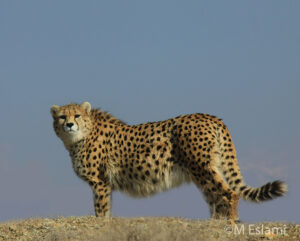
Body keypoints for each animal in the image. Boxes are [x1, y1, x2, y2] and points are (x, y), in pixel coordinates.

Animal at [50, 101, 288, 222]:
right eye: (62, 117)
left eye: (77, 115)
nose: (69, 124)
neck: (79, 138)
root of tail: (211, 117)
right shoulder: (104, 183)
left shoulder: (100, 182)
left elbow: (101, 209)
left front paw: (101, 225)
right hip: (205, 169)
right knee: (215, 197)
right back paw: (214, 223)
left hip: (201, 167)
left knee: (229, 193)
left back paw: (229, 223)